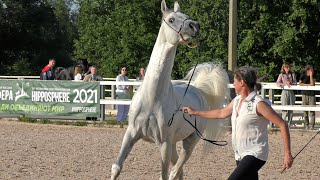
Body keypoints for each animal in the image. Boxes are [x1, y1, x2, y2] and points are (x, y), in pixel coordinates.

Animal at [111, 0, 229, 179]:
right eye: (171, 19)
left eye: (186, 16)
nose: (195, 26)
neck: (152, 99)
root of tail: (198, 91)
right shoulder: (131, 134)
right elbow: (117, 167)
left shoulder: (164, 143)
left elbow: (165, 175)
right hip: (173, 145)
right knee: (178, 170)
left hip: (189, 142)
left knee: (177, 169)